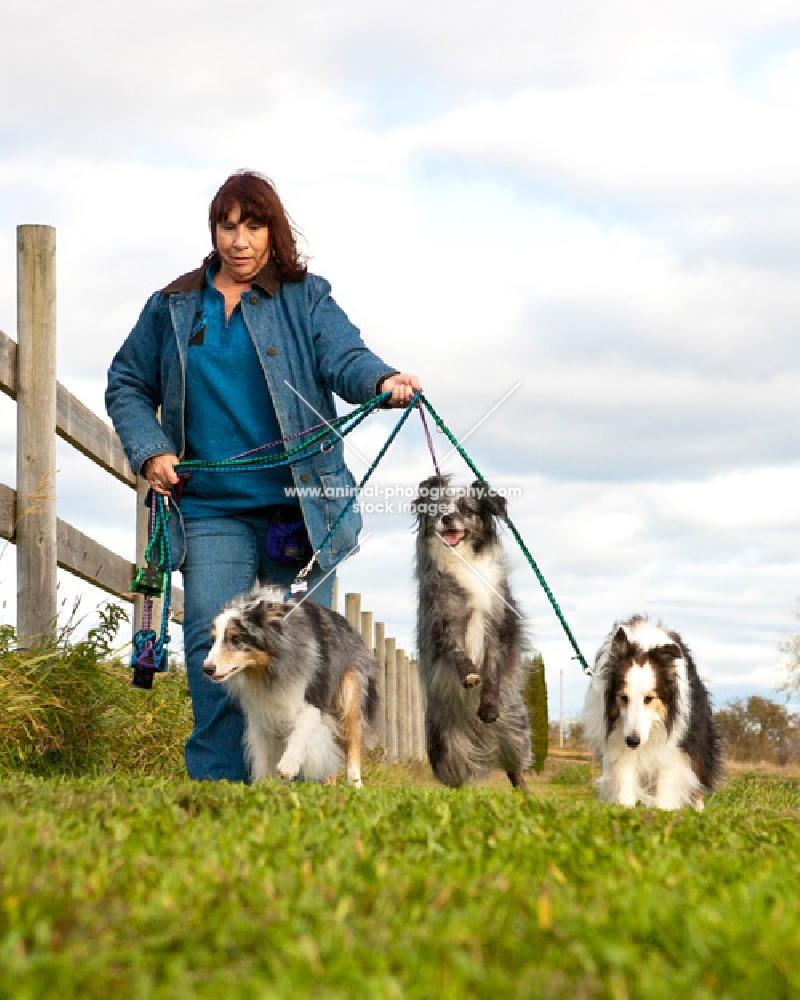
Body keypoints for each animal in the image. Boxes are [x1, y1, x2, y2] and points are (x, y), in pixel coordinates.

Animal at [412, 472, 532, 792]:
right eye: (438, 508)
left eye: (467, 509)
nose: (448, 518)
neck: (463, 558)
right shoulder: (445, 623)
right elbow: (458, 653)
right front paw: (468, 674)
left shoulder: (496, 628)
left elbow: (491, 669)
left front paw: (488, 704)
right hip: (443, 742)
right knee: (459, 775)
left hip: (515, 730)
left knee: (515, 767)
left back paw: (524, 792)